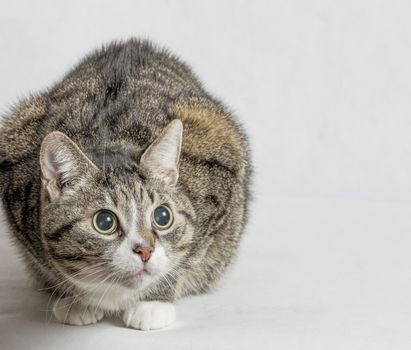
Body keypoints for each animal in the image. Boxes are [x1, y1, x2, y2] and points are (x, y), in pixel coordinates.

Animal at [0, 39, 251, 330]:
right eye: (105, 222)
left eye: (162, 216)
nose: (145, 250)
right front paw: (74, 300)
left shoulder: (219, 169)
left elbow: (185, 256)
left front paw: (153, 302)